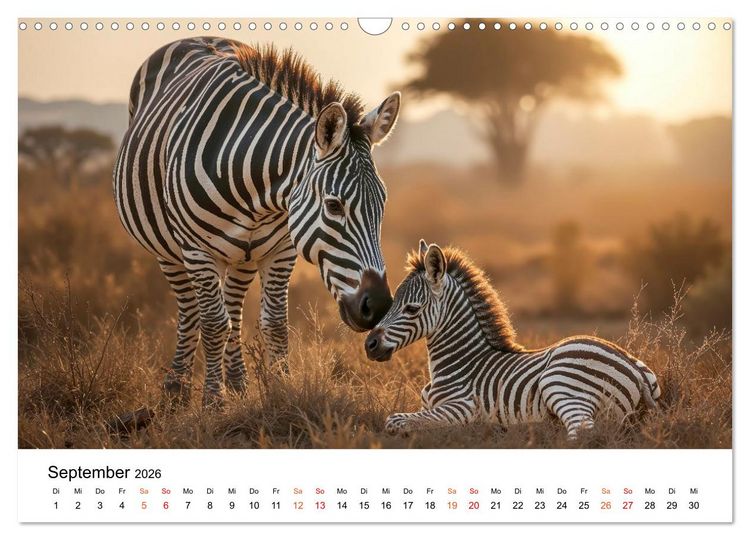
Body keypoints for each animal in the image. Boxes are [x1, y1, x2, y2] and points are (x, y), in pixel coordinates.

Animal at [113, 37, 400, 406]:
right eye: (334, 205)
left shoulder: (282, 251)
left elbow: (274, 324)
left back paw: (237, 383)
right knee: (192, 312)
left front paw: (281, 391)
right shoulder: (197, 251)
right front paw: (213, 401)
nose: (377, 306)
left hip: (244, 256)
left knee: (234, 312)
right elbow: (213, 324)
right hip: (170, 251)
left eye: (382, 205)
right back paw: (177, 388)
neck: (256, 186)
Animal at [365, 240, 661, 440]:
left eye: (411, 309)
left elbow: (395, 420)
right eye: (392, 302)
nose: (369, 345)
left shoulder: (461, 408)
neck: (461, 362)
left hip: (561, 383)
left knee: (583, 433)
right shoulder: (428, 405)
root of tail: (634, 370)